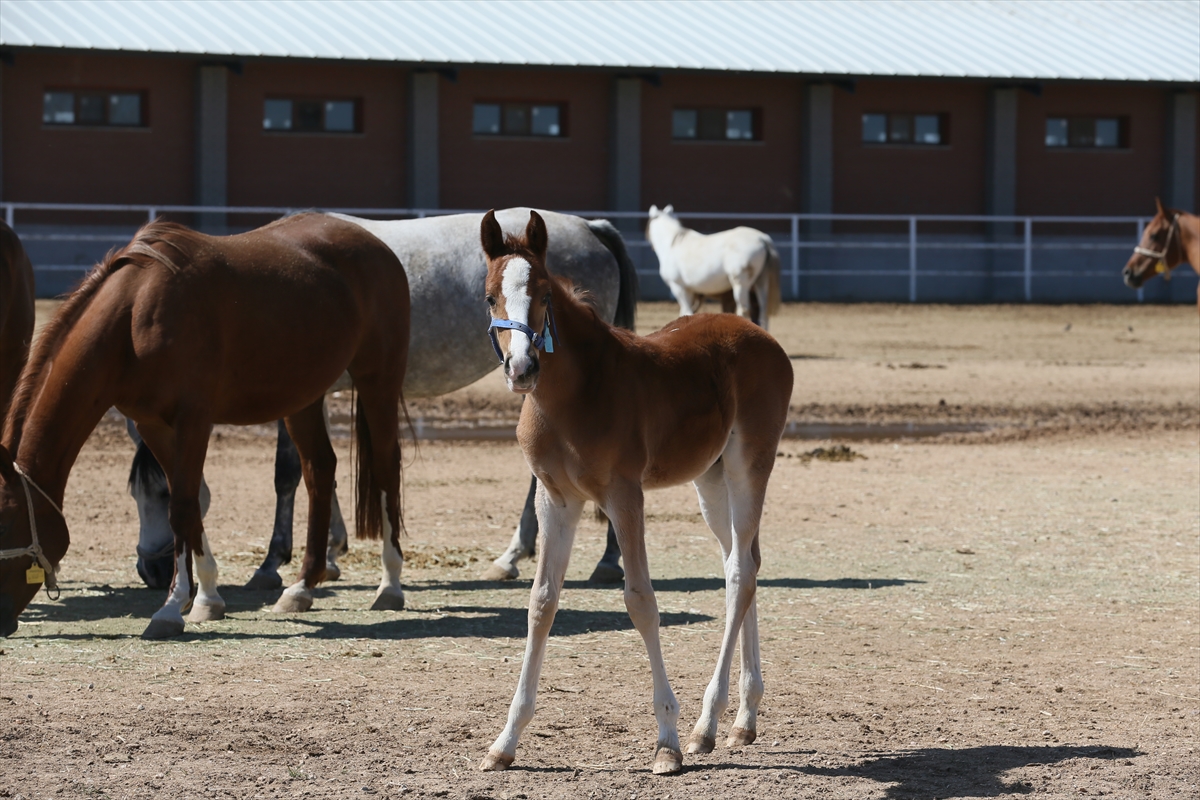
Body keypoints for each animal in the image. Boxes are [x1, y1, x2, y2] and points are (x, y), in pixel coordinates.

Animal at [0, 211, 410, 638]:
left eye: (4, 525)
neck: (134, 315)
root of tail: (376, 244)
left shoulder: (193, 420)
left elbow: (182, 507)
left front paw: (170, 609)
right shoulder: (152, 424)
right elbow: (191, 502)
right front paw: (206, 598)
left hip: (378, 378)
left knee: (385, 465)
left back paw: (390, 585)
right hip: (304, 397)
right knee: (319, 471)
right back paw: (302, 587)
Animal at [131, 209, 638, 592]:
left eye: (160, 491)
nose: (150, 570)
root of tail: (591, 226)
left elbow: (288, 472)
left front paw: (274, 563)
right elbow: (319, 471)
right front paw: (331, 551)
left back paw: (595, 559)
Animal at [648, 206, 777, 331]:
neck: (672, 245)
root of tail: (762, 238)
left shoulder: (679, 287)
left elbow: (687, 312)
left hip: (740, 283)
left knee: (744, 309)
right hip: (761, 281)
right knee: (763, 311)